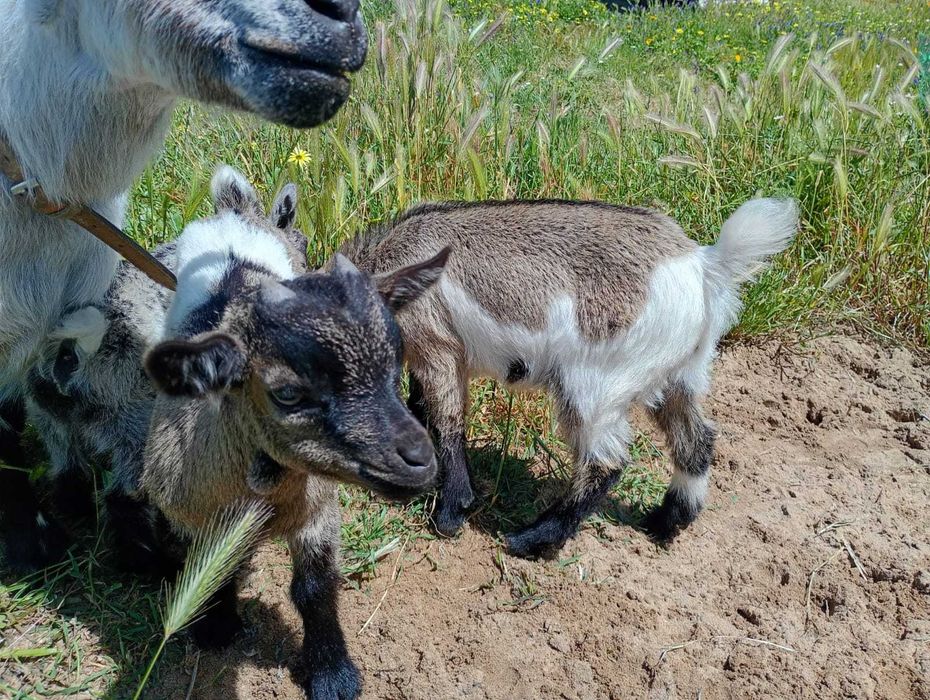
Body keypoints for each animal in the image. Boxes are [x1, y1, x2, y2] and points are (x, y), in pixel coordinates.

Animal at [0, 0, 367, 571]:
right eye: (305, 241)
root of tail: (69, 357)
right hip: (134, 420)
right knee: (125, 498)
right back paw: (158, 565)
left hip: (55, 420)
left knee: (69, 478)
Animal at [140, 166, 445, 698]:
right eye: (286, 393)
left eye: (396, 364)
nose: (420, 461)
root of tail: (237, 212)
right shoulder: (188, 512)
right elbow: (210, 570)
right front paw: (216, 626)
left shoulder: (318, 510)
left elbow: (314, 588)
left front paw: (331, 673)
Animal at [340, 197, 798, 558]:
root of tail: (705, 264)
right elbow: (420, 407)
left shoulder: (436, 345)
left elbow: (446, 422)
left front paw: (451, 512)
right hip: (681, 376)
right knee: (696, 441)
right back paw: (663, 522)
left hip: (594, 386)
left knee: (606, 462)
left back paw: (531, 539)